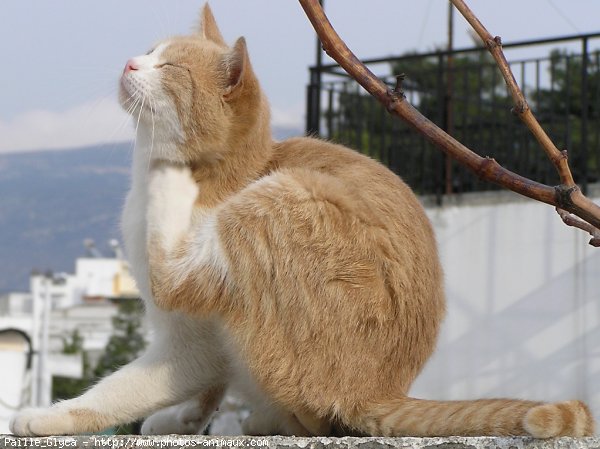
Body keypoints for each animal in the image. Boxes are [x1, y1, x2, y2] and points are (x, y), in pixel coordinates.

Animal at [9, 4, 596, 438]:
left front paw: (46, 418)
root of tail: (378, 389)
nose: (131, 62)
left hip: (284, 197)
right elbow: (204, 388)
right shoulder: (204, 353)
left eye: (169, 68)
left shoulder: (190, 338)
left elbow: (119, 389)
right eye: (151, 52)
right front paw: (185, 418)